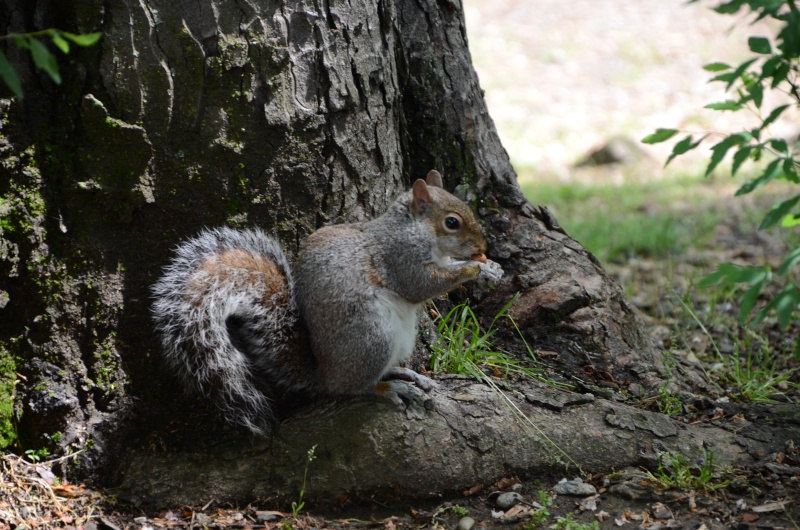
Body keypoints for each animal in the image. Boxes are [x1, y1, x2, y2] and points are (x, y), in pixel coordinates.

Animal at [150, 169, 500, 434]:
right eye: (452, 222)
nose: (483, 248)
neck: (414, 231)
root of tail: (323, 375)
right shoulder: (399, 258)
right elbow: (420, 286)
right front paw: (474, 268)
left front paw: (490, 268)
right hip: (373, 337)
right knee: (352, 388)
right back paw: (388, 389)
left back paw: (405, 375)